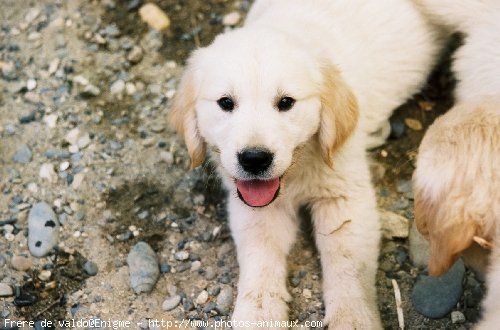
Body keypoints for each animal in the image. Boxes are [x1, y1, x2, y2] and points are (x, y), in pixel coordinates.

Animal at [169, 0, 438, 328]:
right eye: (225, 103)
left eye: (286, 102)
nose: (254, 159)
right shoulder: (254, 205)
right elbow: (260, 253)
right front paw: (259, 311)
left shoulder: (344, 196)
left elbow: (346, 260)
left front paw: (352, 317)